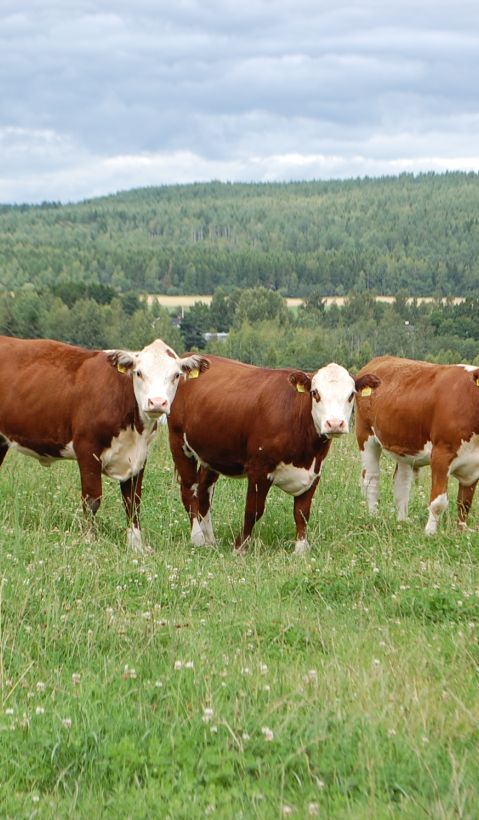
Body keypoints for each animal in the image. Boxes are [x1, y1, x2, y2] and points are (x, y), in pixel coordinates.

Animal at [0, 336, 206, 552]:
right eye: (139, 373)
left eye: (176, 375)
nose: (157, 402)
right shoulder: (87, 448)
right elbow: (92, 499)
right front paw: (89, 540)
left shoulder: (140, 457)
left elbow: (133, 501)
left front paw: (136, 545)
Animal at [167, 355, 380, 554]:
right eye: (315, 393)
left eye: (351, 395)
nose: (335, 424)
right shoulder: (258, 468)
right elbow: (253, 510)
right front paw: (240, 548)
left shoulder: (314, 471)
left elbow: (302, 512)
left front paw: (300, 550)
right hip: (179, 444)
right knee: (189, 490)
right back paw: (198, 539)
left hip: (212, 455)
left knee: (204, 492)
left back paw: (210, 541)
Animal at [355, 355, 479, 534]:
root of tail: (381, 358)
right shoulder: (441, 454)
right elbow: (438, 502)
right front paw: (430, 533)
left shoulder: (474, 465)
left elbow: (465, 503)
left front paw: (460, 533)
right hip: (365, 435)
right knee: (371, 479)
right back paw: (373, 517)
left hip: (405, 445)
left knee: (401, 481)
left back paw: (402, 521)